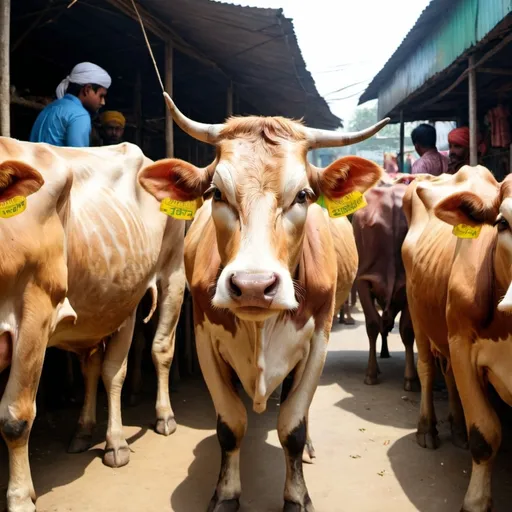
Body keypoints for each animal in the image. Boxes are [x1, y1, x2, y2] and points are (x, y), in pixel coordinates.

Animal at [0, 137, 184, 512]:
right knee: (94, 367)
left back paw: (137, 430)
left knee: (141, 359)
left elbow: (15, 417)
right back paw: (84, 430)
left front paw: (20, 496)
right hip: (105, 302)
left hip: (170, 275)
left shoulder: (36, 308)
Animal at [138, 92, 386, 512]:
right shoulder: (205, 338)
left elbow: (292, 424)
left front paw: (297, 495)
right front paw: (226, 493)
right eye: (216, 193)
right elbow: (231, 424)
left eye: (303, 195)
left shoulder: (318, 339)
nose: (253, 286)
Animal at [402, 165, 512, 512]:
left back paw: (457, 427)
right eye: (503, 222)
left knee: (449, 376)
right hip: (417, 313)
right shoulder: (463, 345)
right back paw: (428, 428)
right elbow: (485, 432)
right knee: (427, 370)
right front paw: (476, 500)